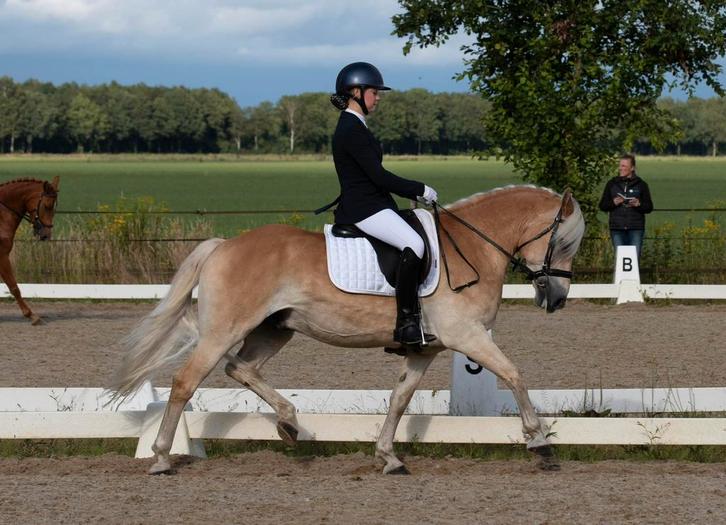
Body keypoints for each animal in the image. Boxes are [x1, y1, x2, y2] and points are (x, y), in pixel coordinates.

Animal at [110, 185, 586, 475]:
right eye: (564, 242)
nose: (558, 298)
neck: (470, 248)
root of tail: (223, 246)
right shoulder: (467, 336)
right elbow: (514, 375)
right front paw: (540, 443)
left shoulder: (424, 349)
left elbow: (399, 399)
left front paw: (389, 457)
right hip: (222, 332)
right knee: (185, 382)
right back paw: (161, 458)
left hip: (273, 330)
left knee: (241, 369)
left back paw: (289, 424)